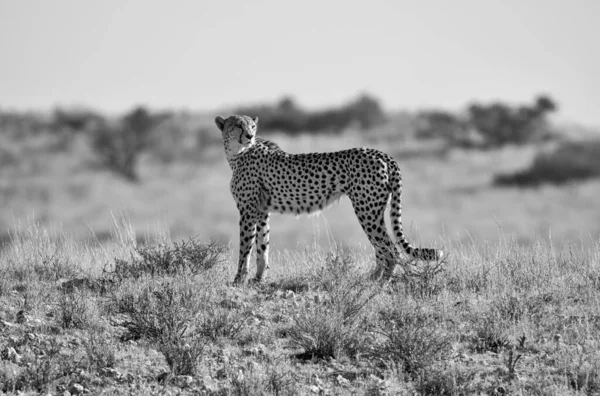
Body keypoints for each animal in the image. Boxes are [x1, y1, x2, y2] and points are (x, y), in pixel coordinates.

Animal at [216, 113, 440, 284]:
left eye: (252, 126)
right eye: (238, 125)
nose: (250, 136)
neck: (238, 153)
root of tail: (381, 153)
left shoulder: (247, 211)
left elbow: (245, 248)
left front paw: (238, 280)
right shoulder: (262, 211)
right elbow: (263, 246)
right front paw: (258, 279)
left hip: (366, 210)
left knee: (391, 250)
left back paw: (381, 282)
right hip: (373, 211)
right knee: (382, 248)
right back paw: (371, 278)